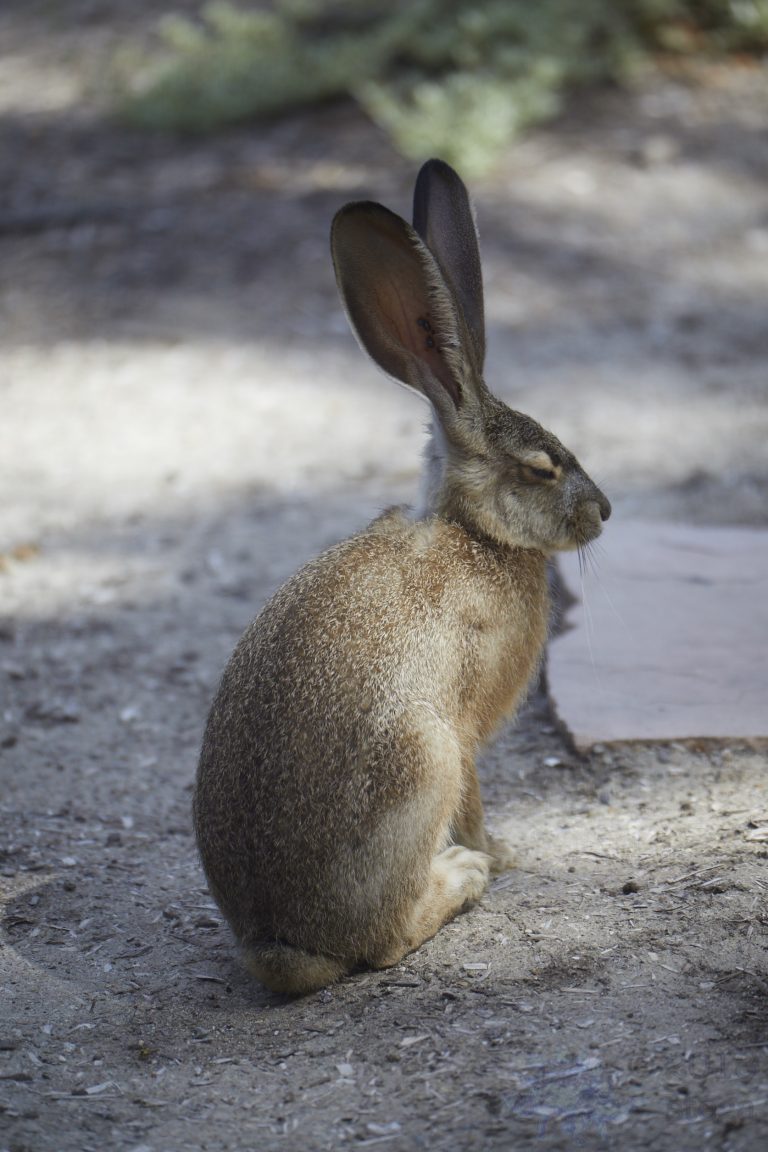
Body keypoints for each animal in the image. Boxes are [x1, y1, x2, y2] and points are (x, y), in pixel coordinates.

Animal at [193, 159, 610, 995]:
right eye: (542, 467)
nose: (605, 513)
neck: (476, 534)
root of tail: (282, 943)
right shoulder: (468, 732)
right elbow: (478, 795)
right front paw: (500, 853)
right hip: (423, 763)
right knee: (384, 941)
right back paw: (461, 879)